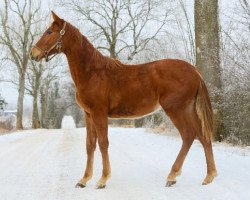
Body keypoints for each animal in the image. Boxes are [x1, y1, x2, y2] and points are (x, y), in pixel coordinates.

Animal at [29, 11, 217, 188]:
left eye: (49, 31)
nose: (33, 53)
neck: (92, 72)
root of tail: (194, 71)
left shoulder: (99, 113)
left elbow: (103, 143)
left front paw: (102, 179)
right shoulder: (88, 115)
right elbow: (90, 145)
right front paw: (83, 180)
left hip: (176, 109)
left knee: (188, 135)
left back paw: (172, 176)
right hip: (189, 109)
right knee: (203, 136)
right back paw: (208, 176)